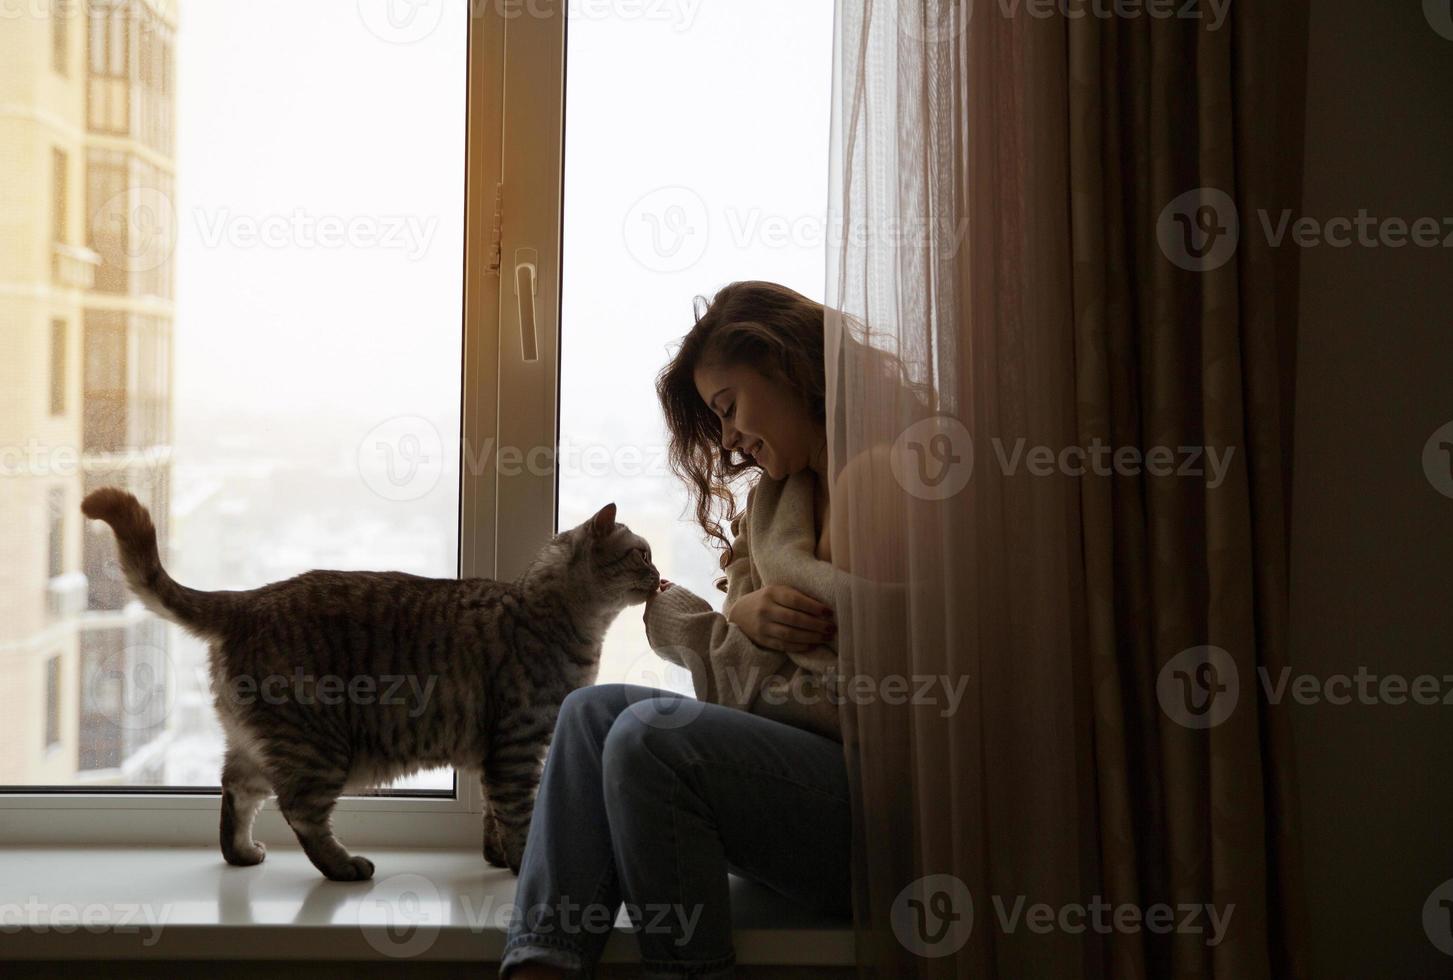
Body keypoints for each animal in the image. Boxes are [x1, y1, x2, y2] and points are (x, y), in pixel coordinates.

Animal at [82, 485, 662, 878]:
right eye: (642, 553)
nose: (659, 577)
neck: (554, 615)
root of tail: (249, 598)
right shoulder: (517, 748)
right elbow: (517, 815)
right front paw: (520, 867)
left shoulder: (498, 756)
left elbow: (494, 817)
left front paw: (498, 858)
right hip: (319, 747)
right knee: (300, 811)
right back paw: (343, 866)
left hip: (262, 745)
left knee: (235, 792)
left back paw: (242, 853)